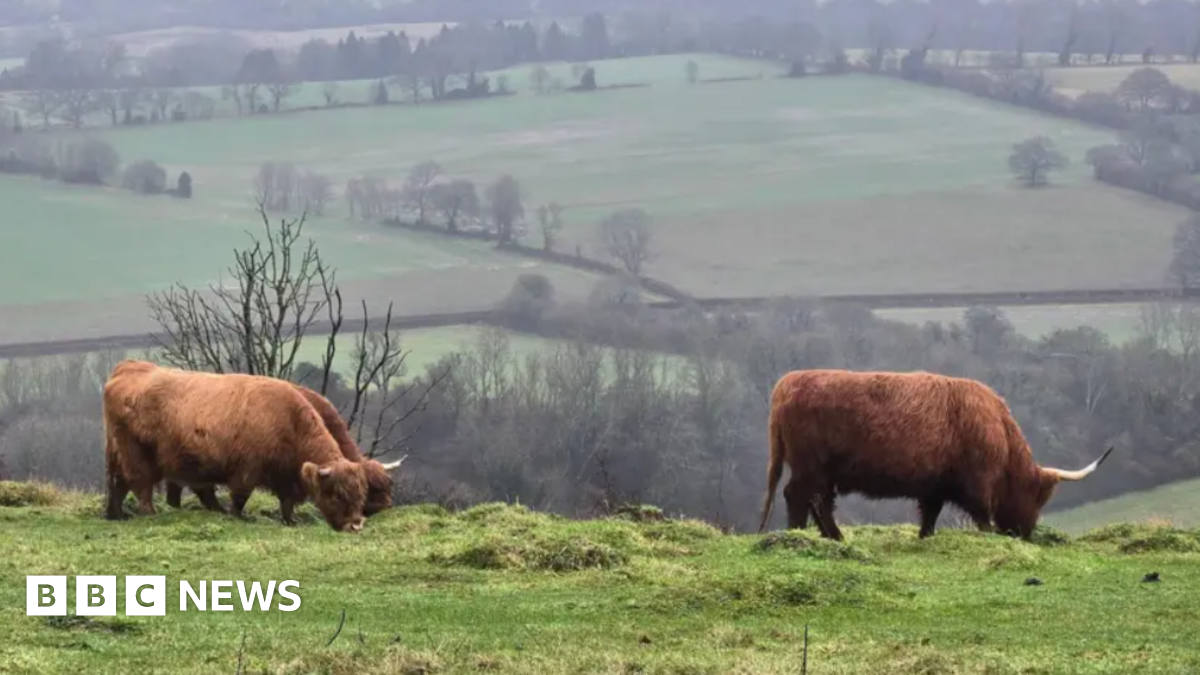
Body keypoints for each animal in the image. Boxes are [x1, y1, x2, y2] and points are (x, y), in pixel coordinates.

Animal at [103, 359, 371, 533]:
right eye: (337, 494)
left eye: (361, 493)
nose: (355, 525)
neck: (289, 422)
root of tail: (128, 368)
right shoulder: (246, 471)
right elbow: (241, 497)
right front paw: (239, 517)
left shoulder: (285, 477)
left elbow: (286, 503)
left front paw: (290, 521)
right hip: (136, 455)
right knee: (141, 485)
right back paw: (149, 513)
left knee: (119, 486)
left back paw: (117, 515)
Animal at [757, 369, 1113, 541]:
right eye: (1038, 497)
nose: (1023, 533)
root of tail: (787, 383)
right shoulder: (978, 482)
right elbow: (981, 515)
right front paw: (989, 538)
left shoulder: (935, 486)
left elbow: (930, 515)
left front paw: (925, 537)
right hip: (810, 465)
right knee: (798, 496)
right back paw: (802, 534)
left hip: (821, 471)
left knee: (818, 501)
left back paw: (832, 537)